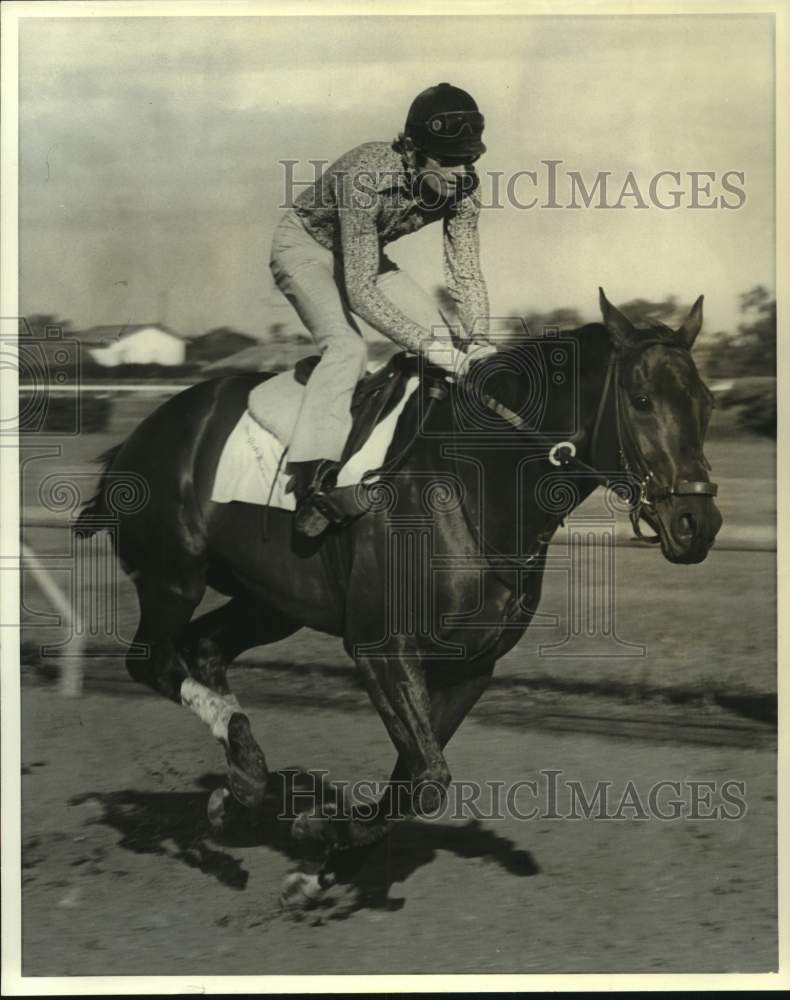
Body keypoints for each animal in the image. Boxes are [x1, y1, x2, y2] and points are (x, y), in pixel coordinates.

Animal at [74, 290, 724, 908]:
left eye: (705, 402)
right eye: (641, 400)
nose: (697, 523)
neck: (476, 484)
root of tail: (142, 432)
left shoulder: (470, 666)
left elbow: (413, 780)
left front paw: (320, 866)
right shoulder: (381, 649)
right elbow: (429, 775)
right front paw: (318, 828)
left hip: (270, 604)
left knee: (205, 649)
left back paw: (242, 780)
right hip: (173, 577)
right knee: (150, 660)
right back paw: (240, 772)